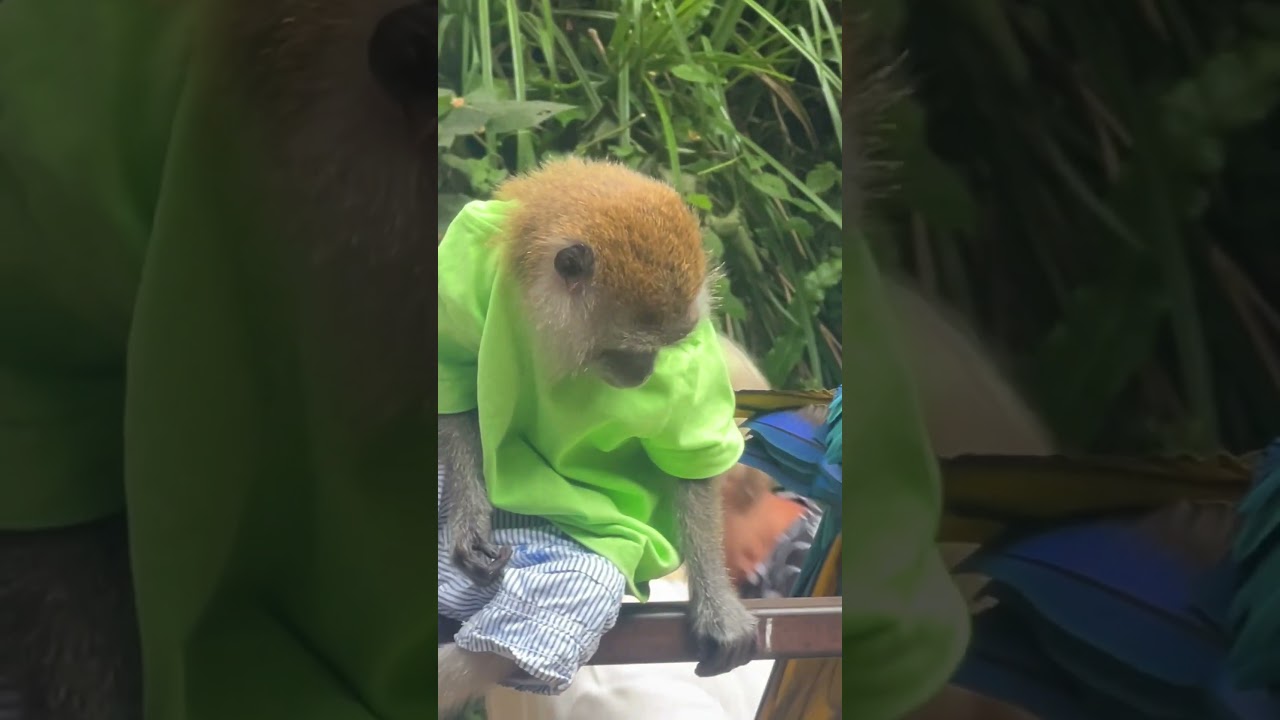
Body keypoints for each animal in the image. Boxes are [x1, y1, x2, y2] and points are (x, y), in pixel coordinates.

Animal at [436, 158, 761, 714]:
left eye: (668, 346)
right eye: (631, 346)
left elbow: (687, 456)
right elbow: (454, 371)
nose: (646, 372)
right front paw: (467, 520)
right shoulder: (468, 252)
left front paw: (716, 604)